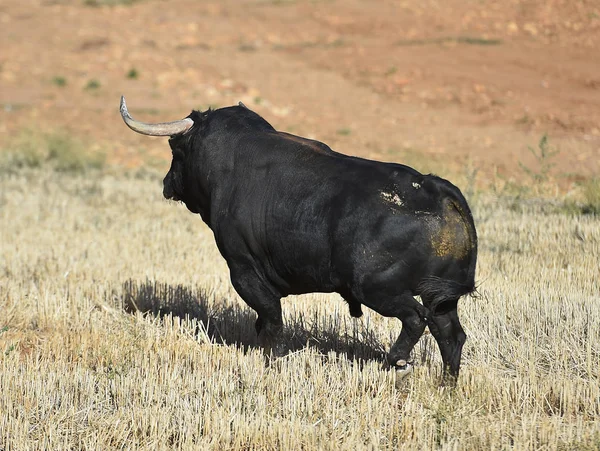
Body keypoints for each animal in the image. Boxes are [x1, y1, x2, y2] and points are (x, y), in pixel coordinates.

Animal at [119, 96, 478, 382]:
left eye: (175, 149)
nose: (167, 183)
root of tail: (436, 190)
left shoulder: (244, 271)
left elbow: (271, 319)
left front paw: (271, 361)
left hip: (378, 287)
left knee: (416, 319)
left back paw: (398, 360)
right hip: (440, 296)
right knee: (450, 334)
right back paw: (447, 384)